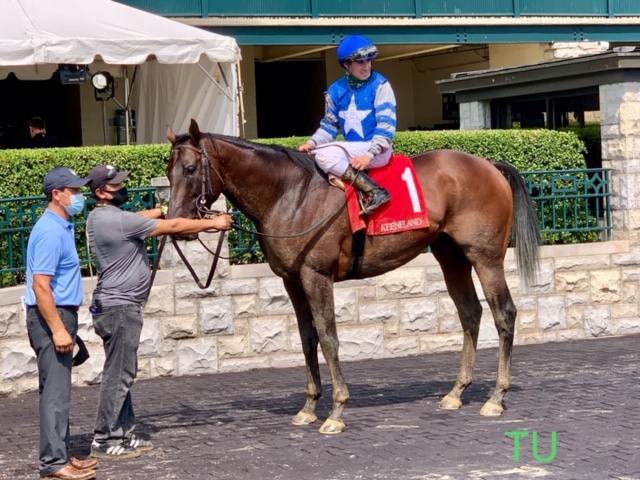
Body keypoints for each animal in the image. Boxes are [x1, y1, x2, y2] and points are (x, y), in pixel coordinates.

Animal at [165, 119, 540, 436]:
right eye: (168, 172)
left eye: (190, 169)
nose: (177, 222)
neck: (290, 193)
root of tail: (489, 164)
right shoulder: (292, 281)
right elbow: (307, 338)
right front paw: (308, 407)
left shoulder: (317, 276)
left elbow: (328, 338)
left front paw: (336, 411)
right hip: (452, 257)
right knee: (470, 314)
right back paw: (457, 392)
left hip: (486, 258)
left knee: (504, 313)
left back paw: (496, 397)